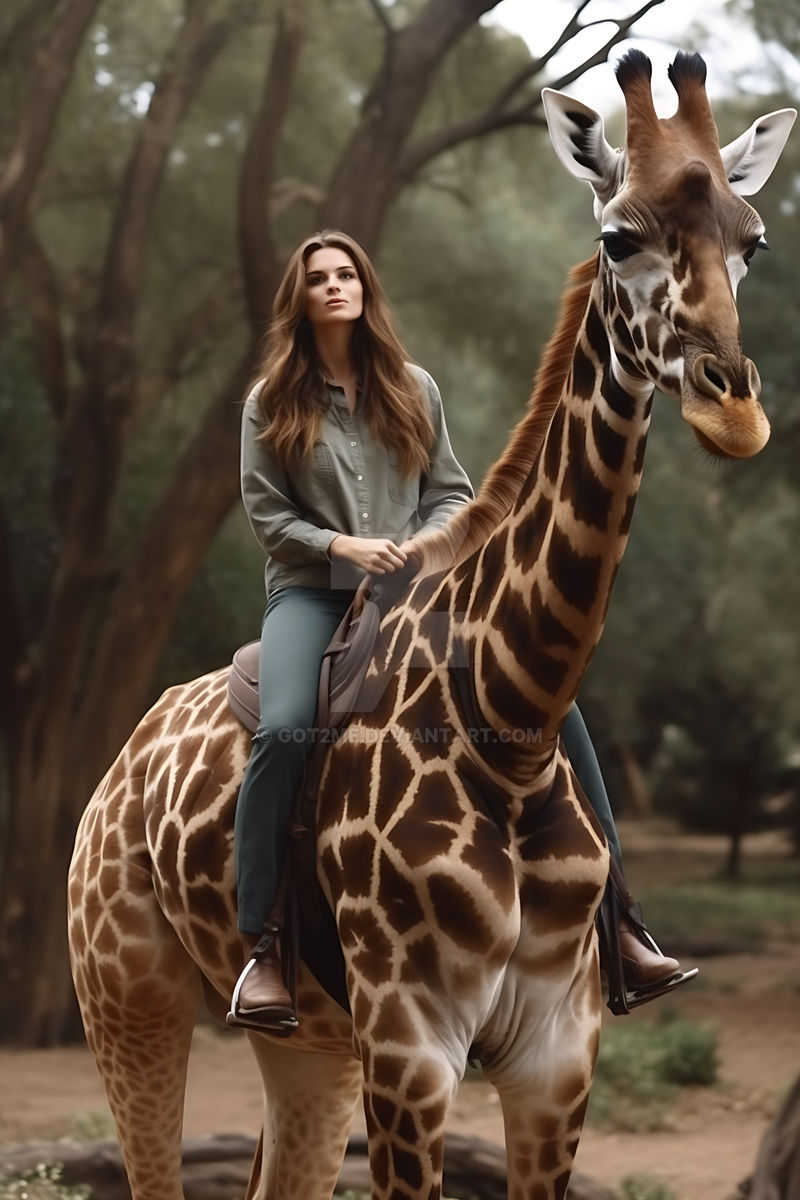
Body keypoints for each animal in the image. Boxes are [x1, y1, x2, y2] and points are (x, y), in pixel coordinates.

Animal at [68, 51, 795, 1200]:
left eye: (752, 239)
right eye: (617, 236)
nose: (733, 409)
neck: (512, 715)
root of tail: (116, 767)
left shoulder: (556, 1054)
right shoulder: (412, 1045)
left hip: (307, 1042)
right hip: (127, 993)